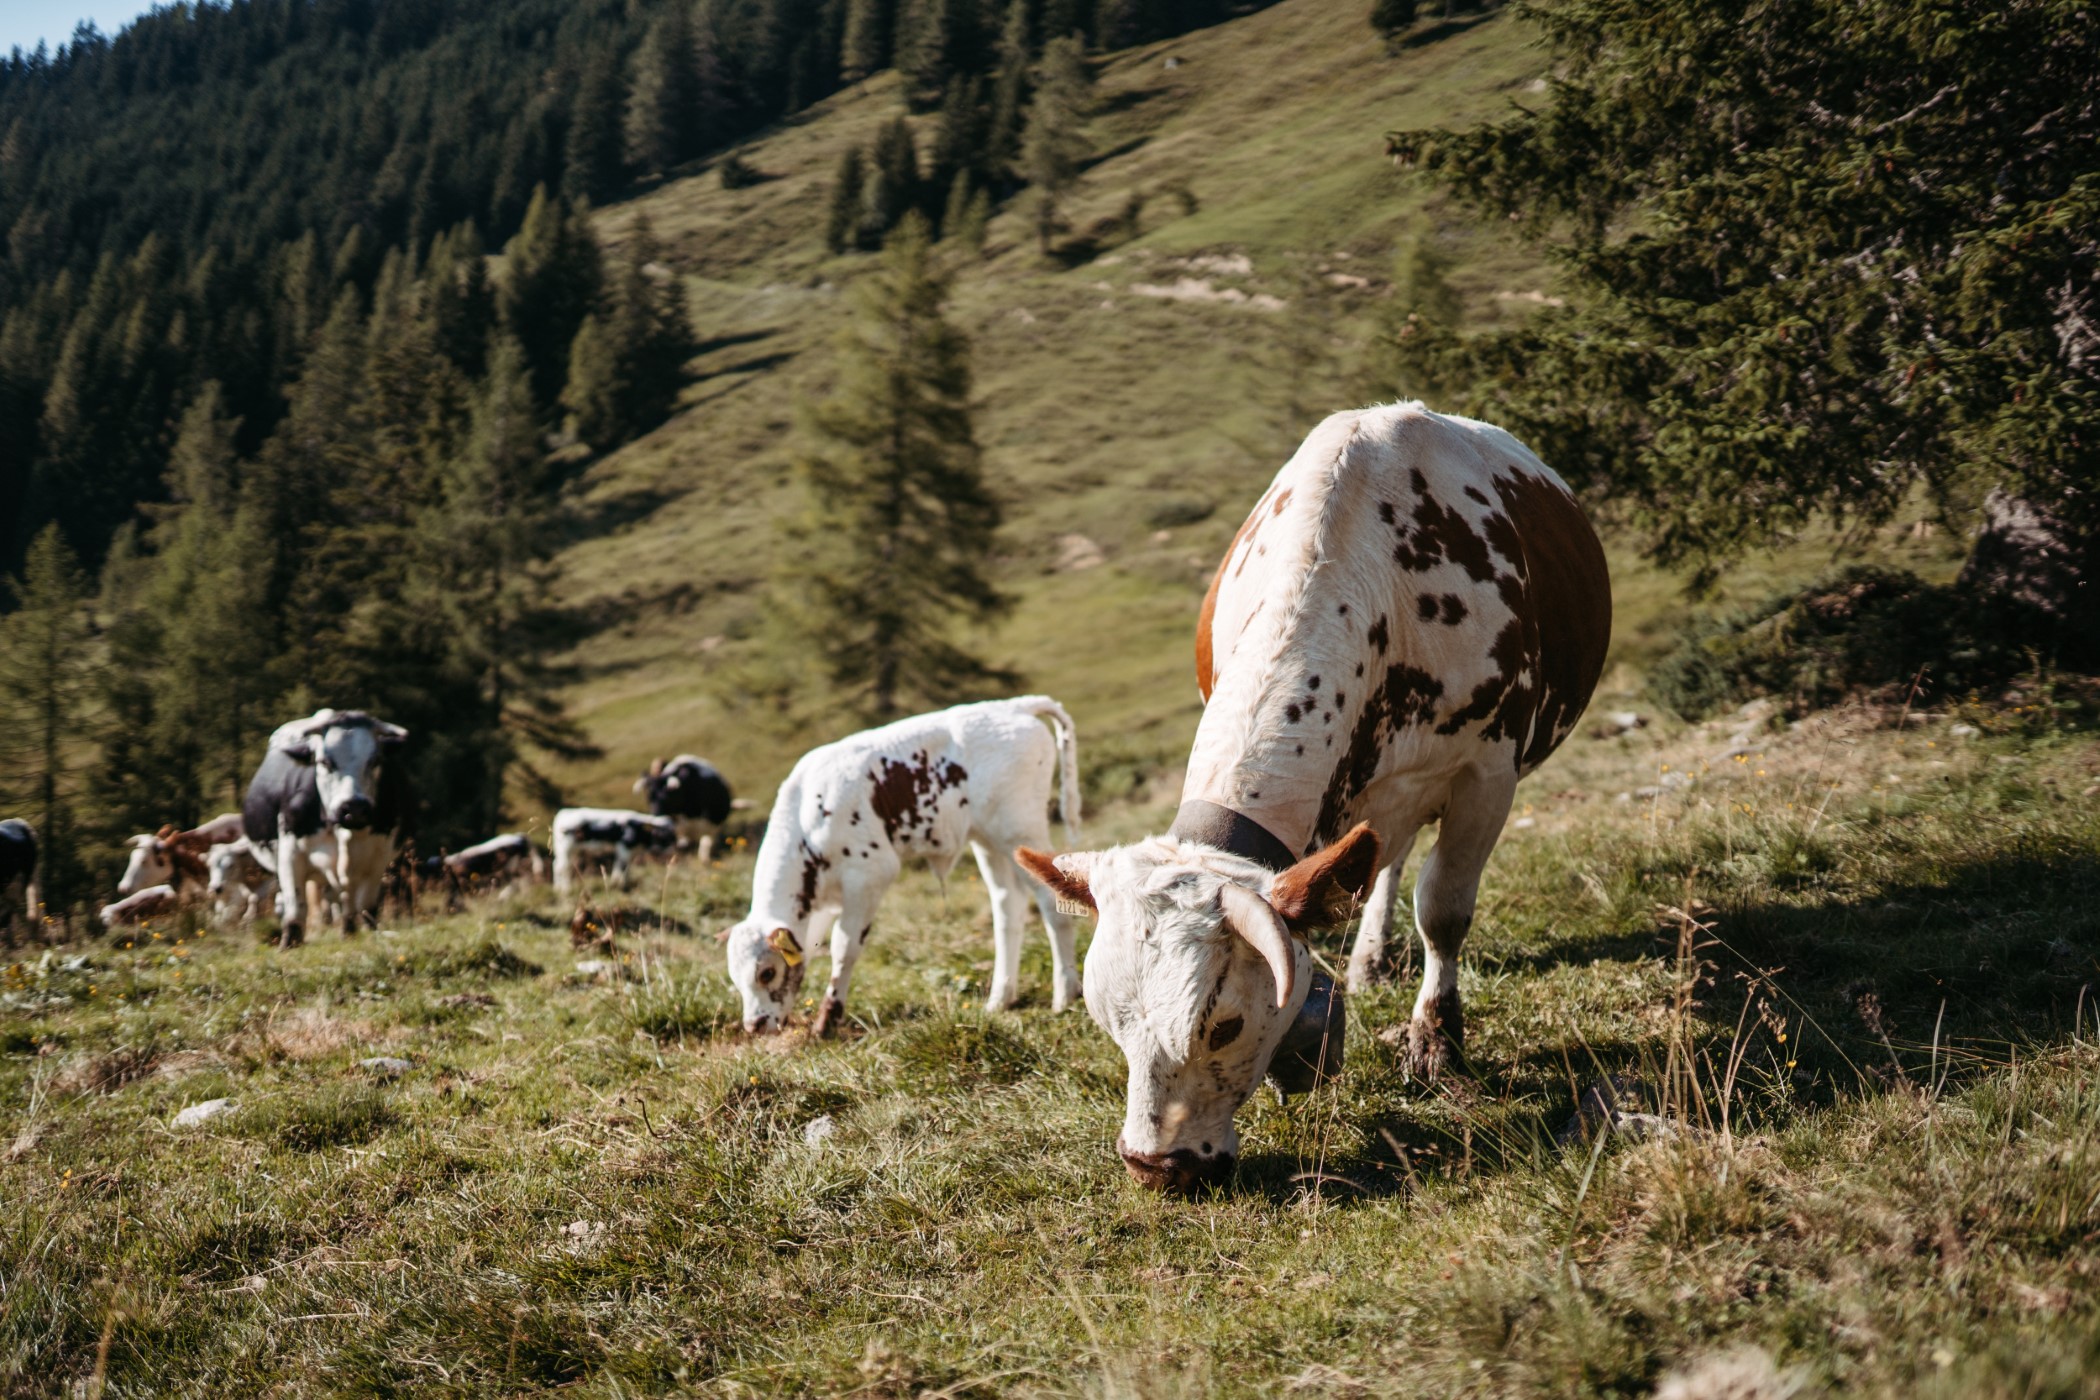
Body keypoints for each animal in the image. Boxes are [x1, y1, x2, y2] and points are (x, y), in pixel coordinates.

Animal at [241, 705, 409, 948]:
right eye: (324, 762)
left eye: (375, 760)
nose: (353, 808)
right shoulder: (289, 852)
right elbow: (295, 903)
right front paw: (289, 942)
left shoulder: (379, 854)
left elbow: (365, 903)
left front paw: (366, 932)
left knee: (344, 899)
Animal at [546, 810, 676, 898]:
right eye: (663, 836)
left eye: (673, 835)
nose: (678, 846)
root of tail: (564, 813)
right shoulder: (623, 849)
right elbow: (622, 868)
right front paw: (621, 887)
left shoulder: (626, 852)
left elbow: (624, 868)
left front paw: (619, 884)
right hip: (565, 848)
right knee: (562, 867)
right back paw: (565, 890)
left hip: (568, 850)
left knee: (556, 865)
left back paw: (557, 888)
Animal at [722, 701, 1083, 1041]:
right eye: (736, 979)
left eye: (766, 973)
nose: (754, 1025)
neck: (808, 816)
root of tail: (1014, 705)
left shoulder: (869, 876)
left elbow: (843, 948)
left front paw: (826, 1022)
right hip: (989, 840)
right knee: (1008, 907)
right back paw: (1000, 998)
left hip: (1019, 828)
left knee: (1050, 903)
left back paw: (1065, 994)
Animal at [1016, 405, 1604, 1192]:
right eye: (1112, 1021)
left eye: (1223, 1024)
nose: (1155, 1166)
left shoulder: (1488, 772)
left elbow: (1444, 910)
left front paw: (1435, 1042)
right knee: (1382, 860)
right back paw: (1370, 959)